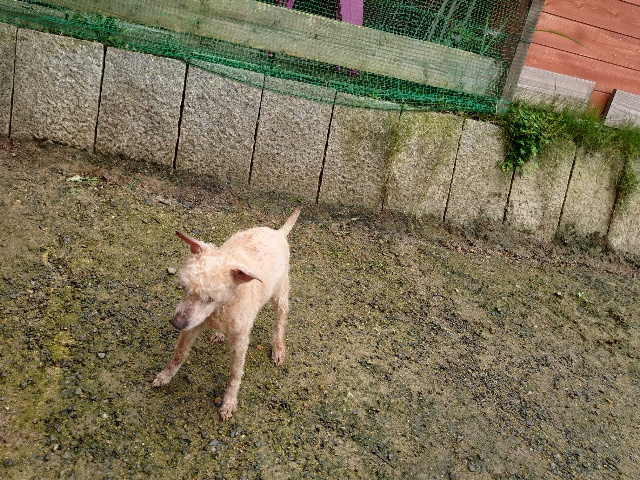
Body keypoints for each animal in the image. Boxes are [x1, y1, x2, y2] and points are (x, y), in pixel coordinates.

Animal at [152, 209, 300, 420]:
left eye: (209, 298)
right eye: (184, 287)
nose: (176, 323)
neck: (220, 309)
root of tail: (279, 232)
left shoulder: (239, 339)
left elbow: (235, 374)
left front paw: (229, 402)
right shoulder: (193, 323)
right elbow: (179, 353)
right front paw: (165, 376)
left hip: (281, 292)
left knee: (279, 323)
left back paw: (278, 349)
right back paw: (219, 334)